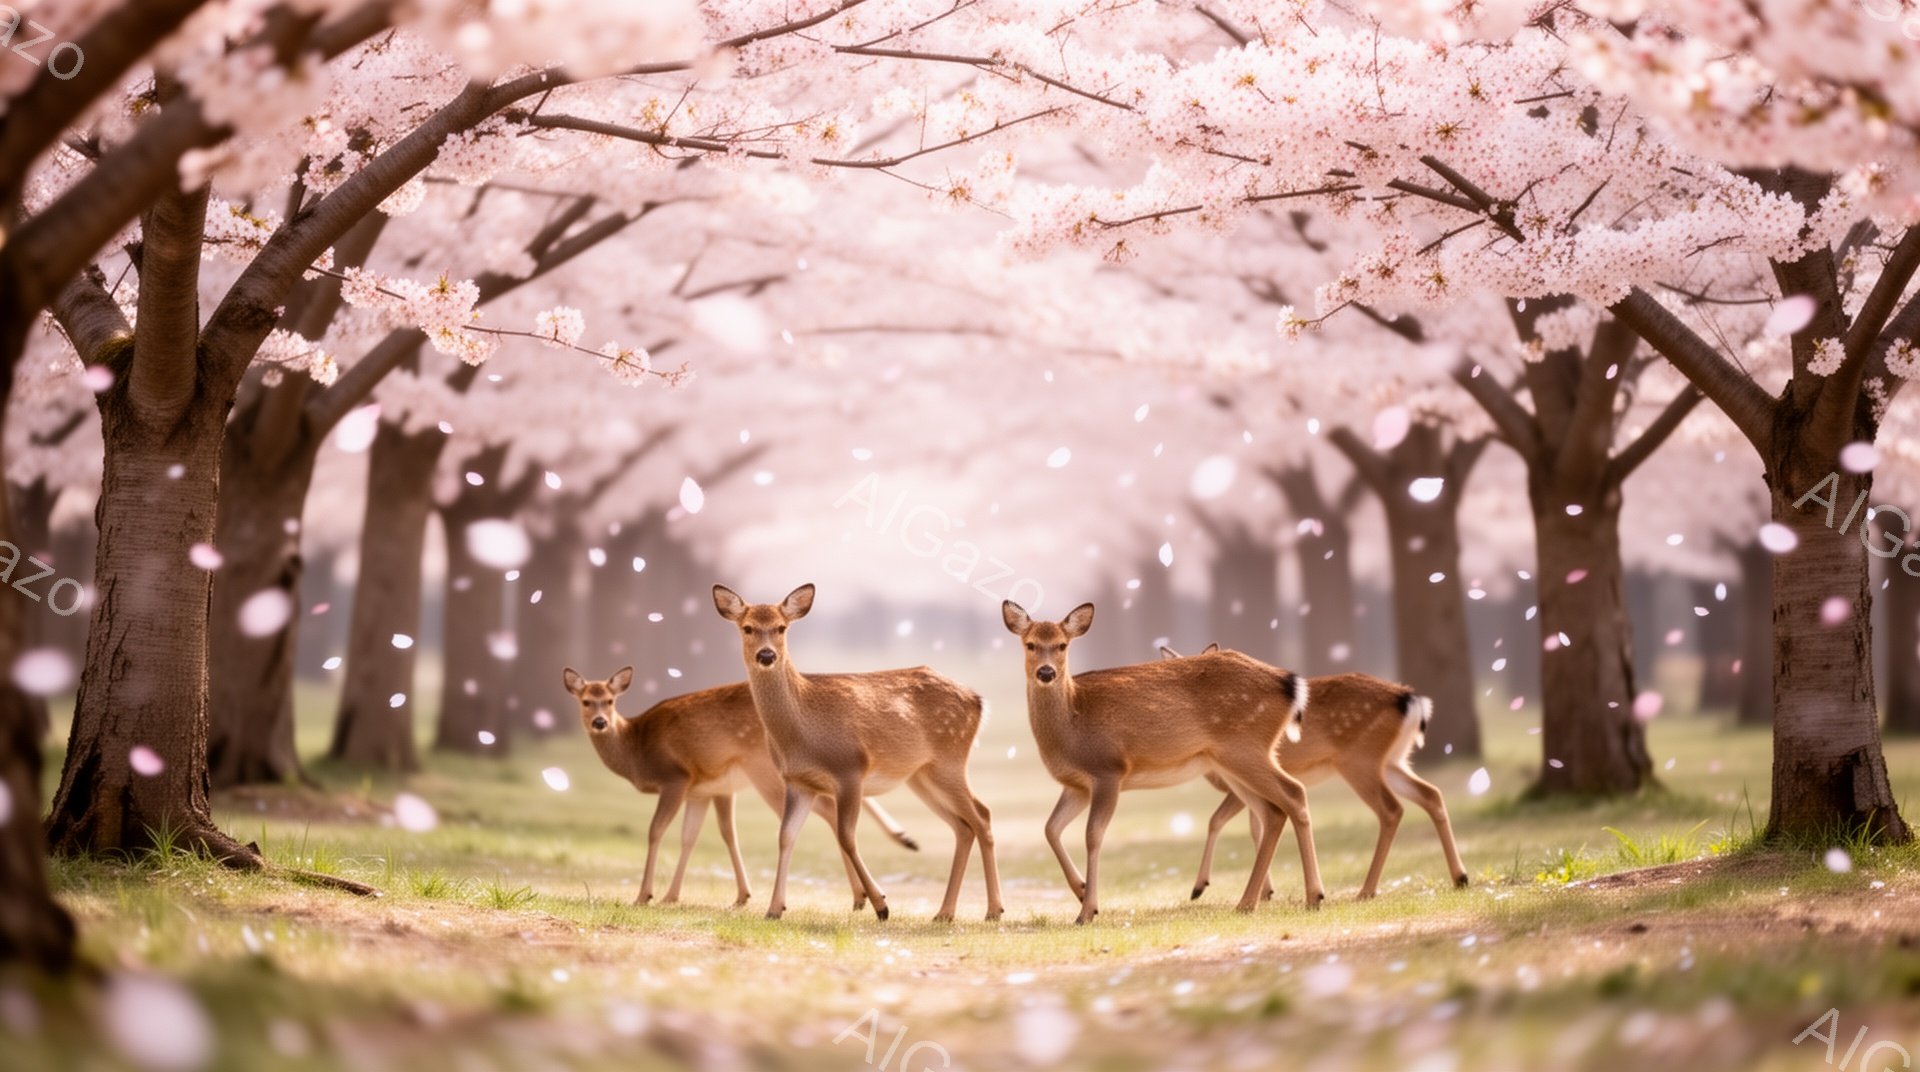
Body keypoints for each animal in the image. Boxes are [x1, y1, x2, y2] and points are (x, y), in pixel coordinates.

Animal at [564, 667, 919, 909]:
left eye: (610, 701)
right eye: (585, 702)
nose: (599, 723)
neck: (637, 750)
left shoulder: (676, 777)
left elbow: (656, 831)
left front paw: (644, 895)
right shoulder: (708, 789)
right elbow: (702, 836)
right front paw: (683, 895)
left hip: (767, 774)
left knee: (829, 811)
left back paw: (864, 894)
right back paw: (870, 885)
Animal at [711, 584, 1004, 922]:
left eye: (781, 628)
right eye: (747, 628)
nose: (767, 655)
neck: (802, 731)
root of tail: (978, 701)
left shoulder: (850, 769)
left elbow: (846, 837)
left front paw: (881, 904)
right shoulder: (798, 782)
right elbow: (785, 836)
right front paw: (774, 909)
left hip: (950, 759)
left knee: (982, 816)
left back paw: (993, 910)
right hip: (921, 775)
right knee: (963, 826)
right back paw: (944, 913)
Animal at [1001, 600, 1323, 923]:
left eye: (1062, 645)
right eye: (1030, 644)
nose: (1046, 672)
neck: (1072, 724)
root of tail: (1290, 684)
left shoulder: (1108, 770)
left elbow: (1093, 835)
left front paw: (1087, 911)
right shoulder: (1076, 785)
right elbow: (1050, 828)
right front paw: (1081, 891)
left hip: (1245, 748)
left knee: (1293, 792)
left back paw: (1312, 896)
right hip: (1233, 760)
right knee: (1271, 811)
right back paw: (1248, 902)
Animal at [1158, 644, 1469, 901]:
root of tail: (1410, 700)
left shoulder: (1238, 783)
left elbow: (1219, 820)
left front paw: (1201, 888)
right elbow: (1254, 825)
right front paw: (1266, 892)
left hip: (1360, 761)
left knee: (1392, 809)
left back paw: (1366, 890)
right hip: (1393, 761)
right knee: (1430, 793)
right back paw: (1460, 877)